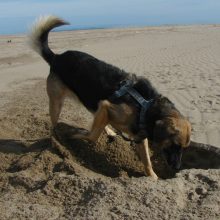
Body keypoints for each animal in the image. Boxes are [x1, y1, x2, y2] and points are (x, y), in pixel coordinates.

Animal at [28, 15, 191, 180]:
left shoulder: (138, 136)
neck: (146, 106)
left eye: (184, 147)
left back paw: (108, 131)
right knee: (54, 126)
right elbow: (92, 136)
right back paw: (57, 140)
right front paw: (76, 135)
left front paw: (152, 177)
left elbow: (147, 161)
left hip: (93, 102)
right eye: (174, 145)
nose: (177, 167)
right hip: (57, 103)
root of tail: (56, 57)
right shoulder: (107, 106)